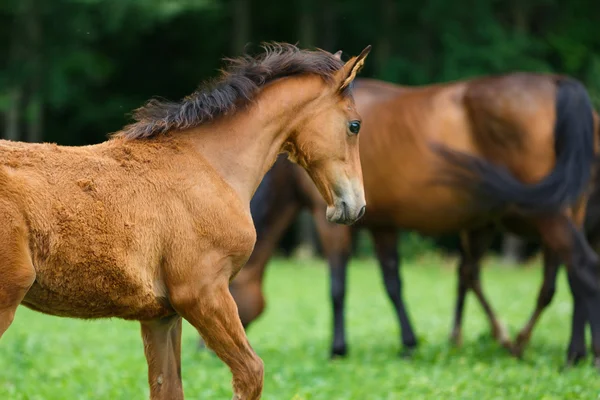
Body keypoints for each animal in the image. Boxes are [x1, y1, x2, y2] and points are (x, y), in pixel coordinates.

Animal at [0, 44, 370, 400]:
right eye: (355, 125)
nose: (355, 206)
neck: (208, 164)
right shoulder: (202, 293)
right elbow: (251, 374)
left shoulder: (161, 315)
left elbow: (169, 388)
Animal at [226, 74, 600, 366]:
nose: (213, 351)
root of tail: (559, 84)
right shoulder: (382, 225)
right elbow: (393, 283)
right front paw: (408, 344)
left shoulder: (328, 219)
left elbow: (337, 286)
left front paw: (338, 349)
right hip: (567, 210)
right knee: (569, 278)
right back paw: (574, 351)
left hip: (546, 213)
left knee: (583, 267)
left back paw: (578, 355)